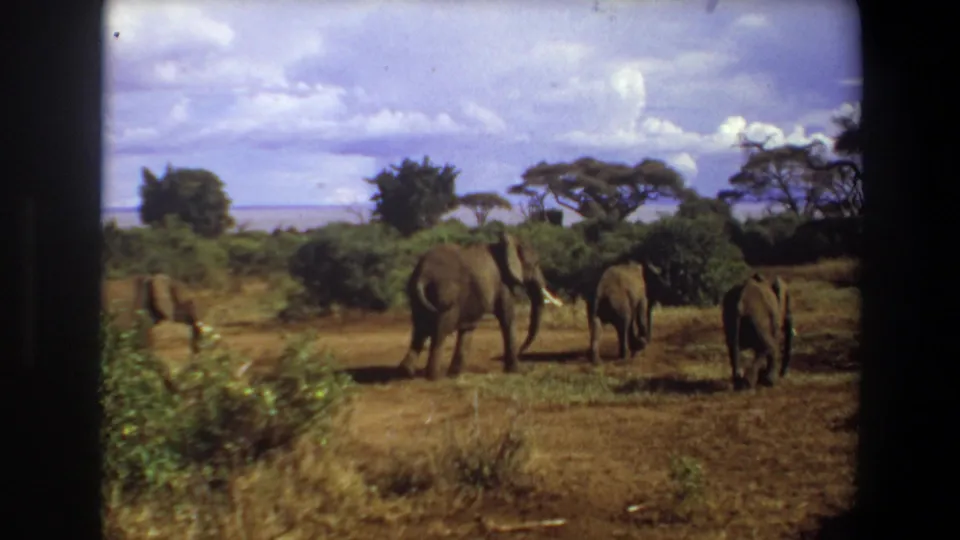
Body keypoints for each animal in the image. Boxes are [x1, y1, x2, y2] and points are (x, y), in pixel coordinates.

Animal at [397, 232, 564, 381]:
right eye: (535, 264)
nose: (522, 351)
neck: (504, 245)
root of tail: (423, 275)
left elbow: (468, 328)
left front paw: (455, 375)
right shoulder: (502, 284)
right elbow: (507, 318)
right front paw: (518, 371)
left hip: (416, 297)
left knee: (419, 330)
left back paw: (407, 373)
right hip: (445, 294)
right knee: (440, 331)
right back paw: (435, 377)